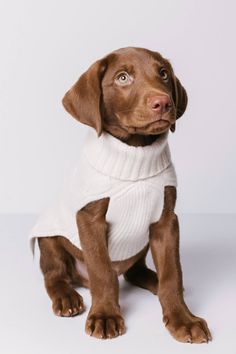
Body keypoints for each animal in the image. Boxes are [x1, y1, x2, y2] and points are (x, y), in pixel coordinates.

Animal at [30, 47, 211, 342]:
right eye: (123, 78)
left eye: (163, 73)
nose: (163, 102)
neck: (136, 151)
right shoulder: (89, 219)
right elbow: (102, 271)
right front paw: (105, 316)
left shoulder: (166, 222)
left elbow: (173, 274)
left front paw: (183, 318)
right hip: (50, 239)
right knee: (55, 274)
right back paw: (67, 298)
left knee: (134, 273)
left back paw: (154, 282)